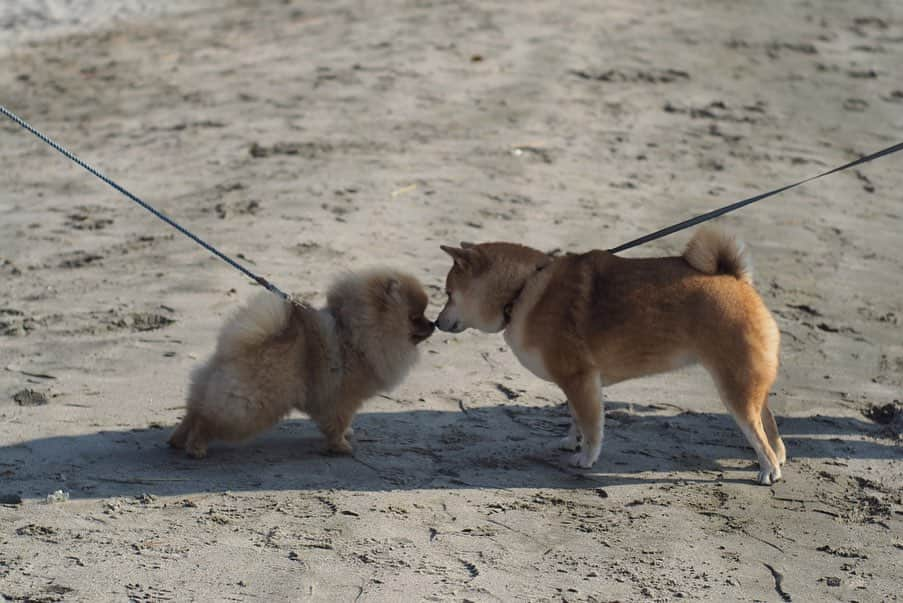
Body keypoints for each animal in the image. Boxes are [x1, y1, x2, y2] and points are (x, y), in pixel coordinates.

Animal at [172, 268, 438, 458]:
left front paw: (344, 436)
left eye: (424, 314)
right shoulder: (344, 398)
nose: (433, 323)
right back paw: (196, 447)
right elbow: (338, 421)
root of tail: (234, 348)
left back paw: (176, 440)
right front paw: (340, 446)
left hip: (212, 385)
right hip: (250, 408)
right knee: (208, 419)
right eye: (415, 317)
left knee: (195, 410)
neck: (356, 334)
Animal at [436, 229, 784, 488]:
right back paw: (777, 457)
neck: (522, 290)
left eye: (449, 294)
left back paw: (769, 470)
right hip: (746, 383)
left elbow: (591, 424)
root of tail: (736, 279)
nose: (436, 322)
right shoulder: (576, 383)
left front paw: (586, 458)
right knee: (769, 423)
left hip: (734, 387)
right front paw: (571, 440)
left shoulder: (580, 378)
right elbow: (576, 416)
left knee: (756, 430)